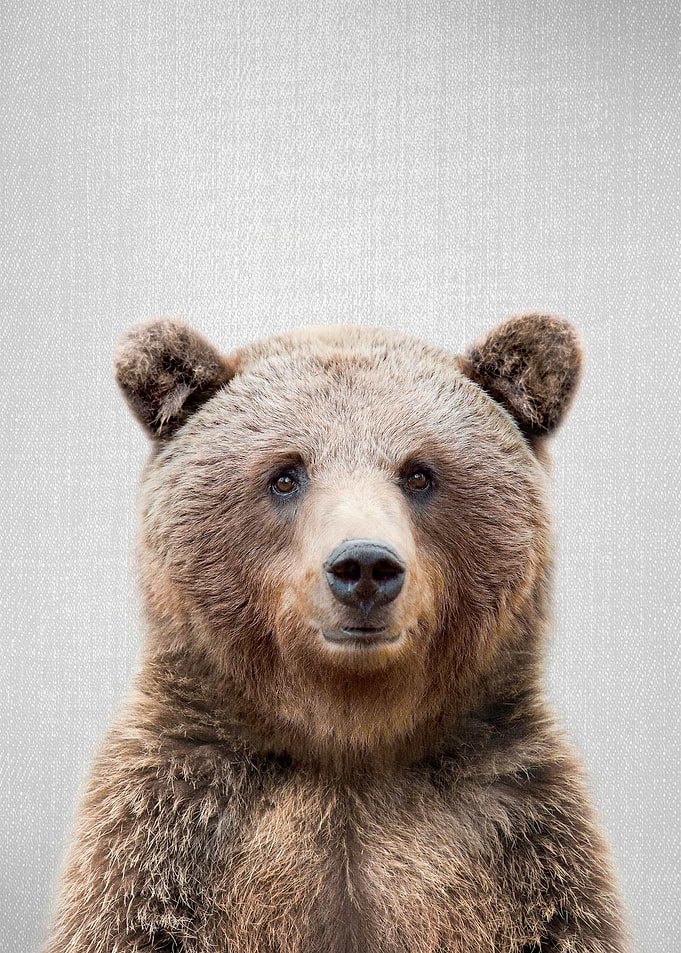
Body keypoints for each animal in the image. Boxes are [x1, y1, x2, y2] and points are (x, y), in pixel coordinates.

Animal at [42, 314, 630, 953]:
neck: (348, 738)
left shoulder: (522, 843)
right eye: (285, 475)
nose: (365, 566)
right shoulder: (169, 836)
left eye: (419, 473)